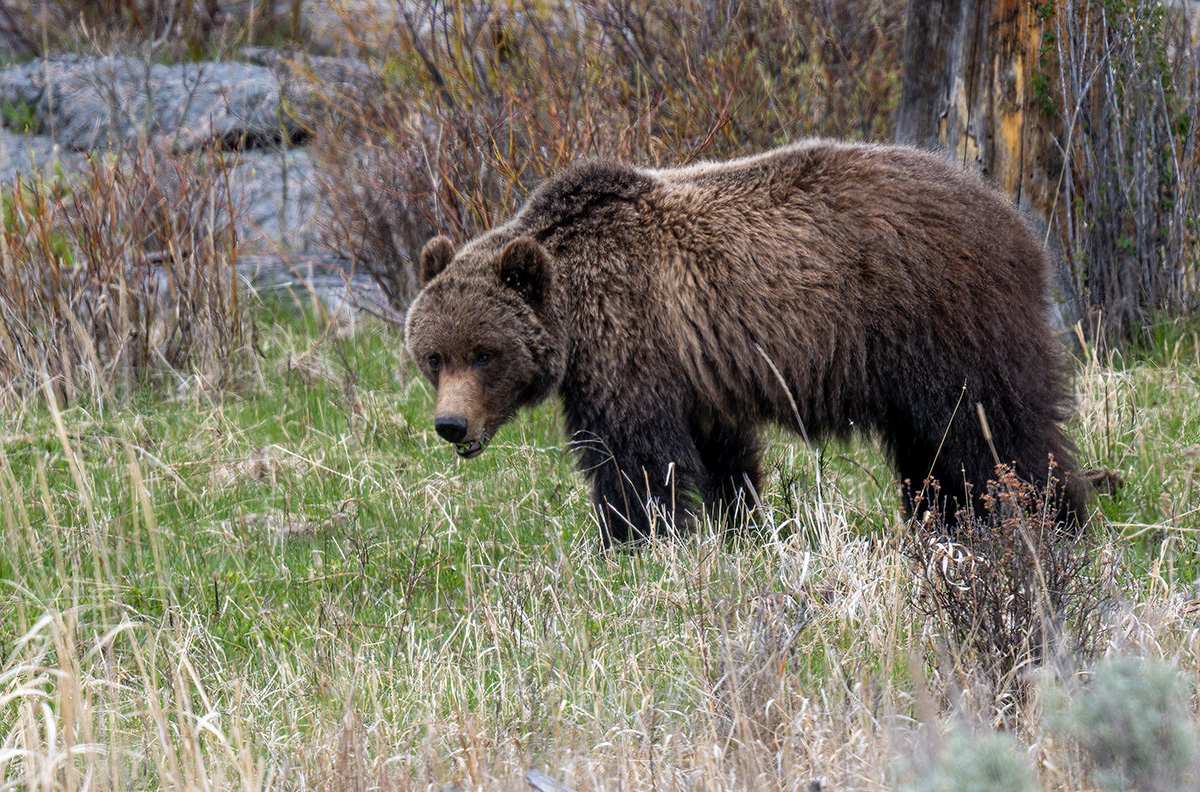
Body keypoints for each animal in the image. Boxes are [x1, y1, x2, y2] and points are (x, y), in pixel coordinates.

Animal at [403, 141, 1089, 544]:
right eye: (433, 356)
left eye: (484, 353)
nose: (451, 425)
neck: (575, 306)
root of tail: (1016, 220)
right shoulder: (697, 366)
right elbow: (722, 453)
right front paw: (743, 527)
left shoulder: (629, 342)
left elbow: (634, 458)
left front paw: (633, 543)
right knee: (934, 449)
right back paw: (945, 526)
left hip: (942, 321)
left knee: (994, 429)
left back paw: (1053, 520)